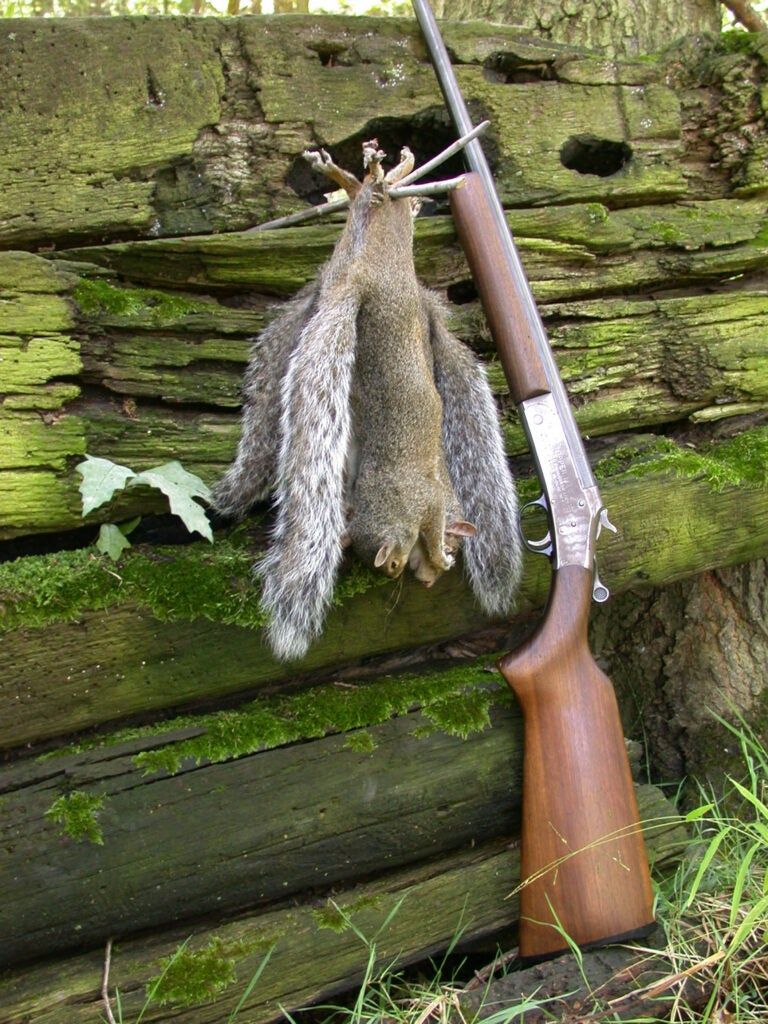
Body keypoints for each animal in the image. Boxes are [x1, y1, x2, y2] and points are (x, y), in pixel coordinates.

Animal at [213, 141, 522, 660]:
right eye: (396, 566)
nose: (427, 577)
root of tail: (360, 281)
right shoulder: (429, 506)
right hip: (382, 268)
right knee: (380, 203)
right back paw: (384, 179)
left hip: (357, 256)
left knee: (369, 203)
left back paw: (375, 180)